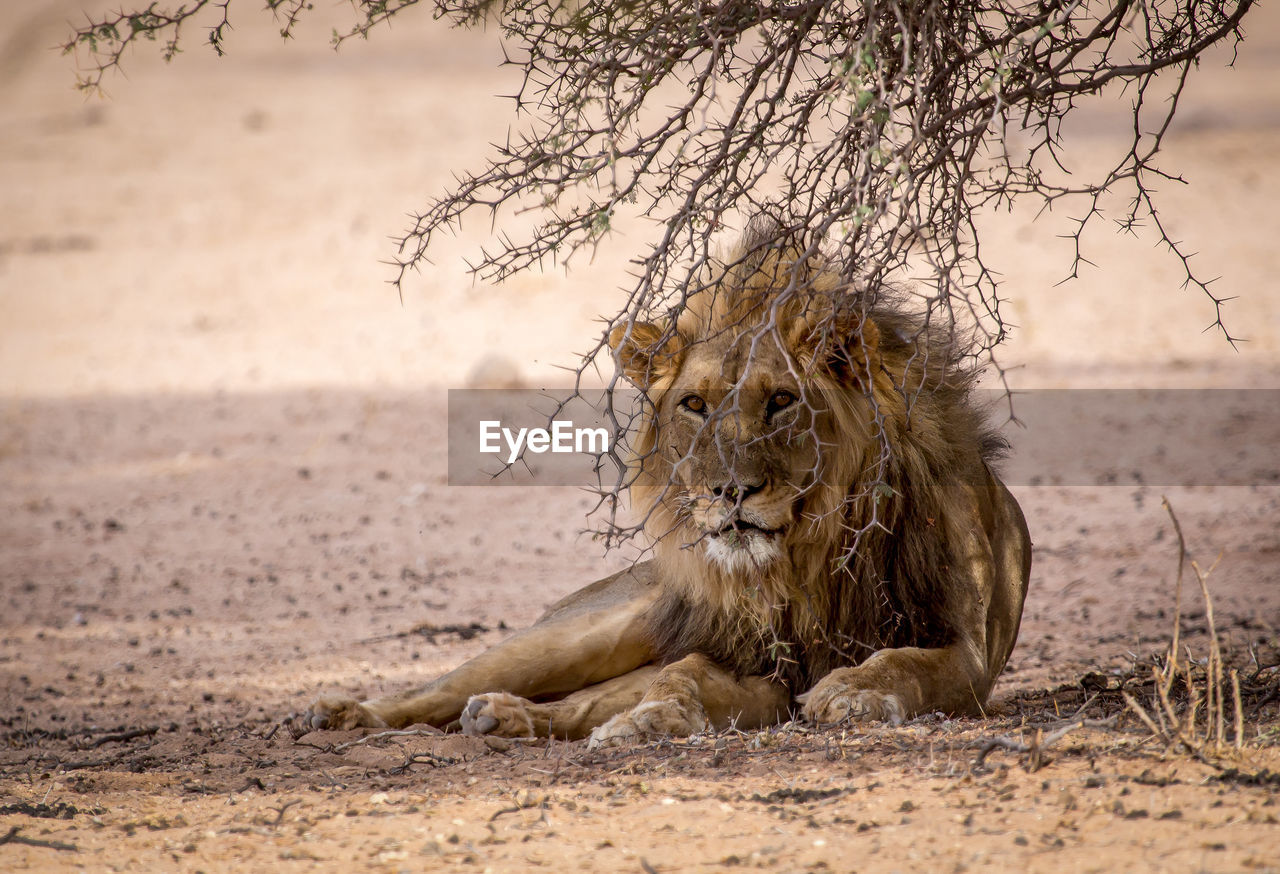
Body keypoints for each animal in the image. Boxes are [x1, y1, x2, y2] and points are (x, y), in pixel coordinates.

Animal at [304, 225, 1034, 747]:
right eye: (695, 405)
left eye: (780, 401)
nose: (728, 492)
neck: (812, 557)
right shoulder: (753, 662)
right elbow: (687, 679)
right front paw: (652, 720)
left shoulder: (968, 652)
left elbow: (905, 662)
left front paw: (851, 691)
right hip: (584, 631)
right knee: (450, 689)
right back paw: (347, 713)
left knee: (574, 705)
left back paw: (508, 720)